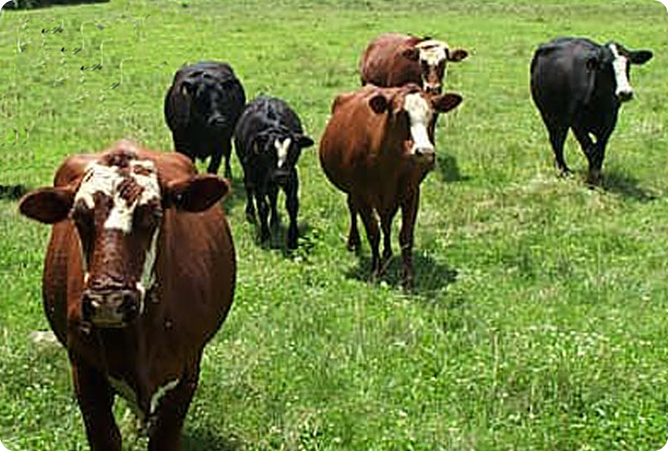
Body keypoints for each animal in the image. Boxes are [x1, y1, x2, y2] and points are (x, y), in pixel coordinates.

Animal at [234, 95, 314, 249]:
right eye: (267, 150)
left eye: (293, 150)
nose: (280, 174)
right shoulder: (258, 178)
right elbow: (262, 206)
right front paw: (265, 236)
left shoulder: (292, 176)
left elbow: (292, 204)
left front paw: (293, 238)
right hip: (247, 170)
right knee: (248, 187)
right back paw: (250, 212)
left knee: (273, 194)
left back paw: (275, 219)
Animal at [319, 84, 462, 288]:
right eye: (399, 114)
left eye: (433, 114)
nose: (425, 152)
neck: (390, 165)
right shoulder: (361, 194)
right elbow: (373, 232)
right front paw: (376, 271)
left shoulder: (411, 193)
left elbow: (405, 236)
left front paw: (408, 277)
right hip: (353, 192)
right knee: (353, 210)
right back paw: (354, 242)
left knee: (386, 221)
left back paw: (387, 254)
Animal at [530, 37, 652, 184]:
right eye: (605, 65)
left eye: (628, 64)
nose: (625, 93)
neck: (599, 104)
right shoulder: (577, 124)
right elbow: (589, 148)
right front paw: (591, 179)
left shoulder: (609, 124)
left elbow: (599, 150)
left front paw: (597, 177)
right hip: (549, 114)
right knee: (557, 140)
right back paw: (563, 169)